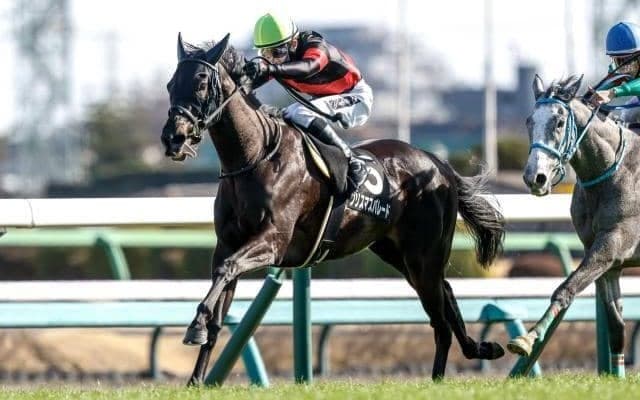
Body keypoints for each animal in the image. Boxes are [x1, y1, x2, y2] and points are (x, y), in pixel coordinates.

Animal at [160, 33, 506, 384]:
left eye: (202, 82)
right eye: (171, 84)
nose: (173, 138)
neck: (256, 156)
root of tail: (439, 164)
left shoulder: (273, 241)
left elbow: (227, 269)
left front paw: (195, 327)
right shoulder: (228, 243)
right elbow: (222, 287)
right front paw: (196, 376)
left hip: (425, 253)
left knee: (440, 319)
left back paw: (439, 377)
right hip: (397, 252)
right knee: (445, 294)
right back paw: (479, 349)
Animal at [508, 74, 640, 377]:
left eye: (558, 122)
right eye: (529, 121)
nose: (535, 177)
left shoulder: (612, 244)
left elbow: (565, 289)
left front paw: (527, 338)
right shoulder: (607, 260)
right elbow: (616, 326)